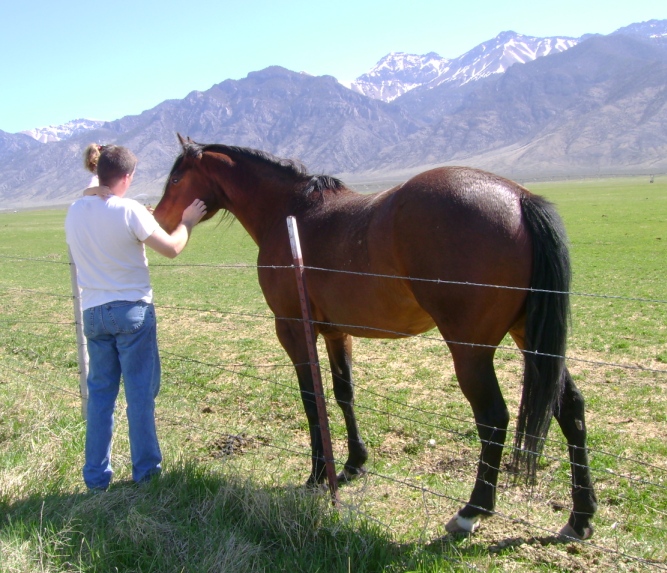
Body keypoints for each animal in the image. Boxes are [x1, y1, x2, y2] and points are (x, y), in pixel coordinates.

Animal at [154, 136, 596, 540]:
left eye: (175, 177)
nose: (157, 220)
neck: (290, 212)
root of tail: (520, 197)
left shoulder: (293, 329)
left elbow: (312, 399)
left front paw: (318, 473)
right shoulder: (337, 333)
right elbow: (343, 393)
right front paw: (353, 462)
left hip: (471, 351)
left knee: (493, 419)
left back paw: (471, 512)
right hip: (530, 338)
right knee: (569, 408)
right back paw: (580, 518)